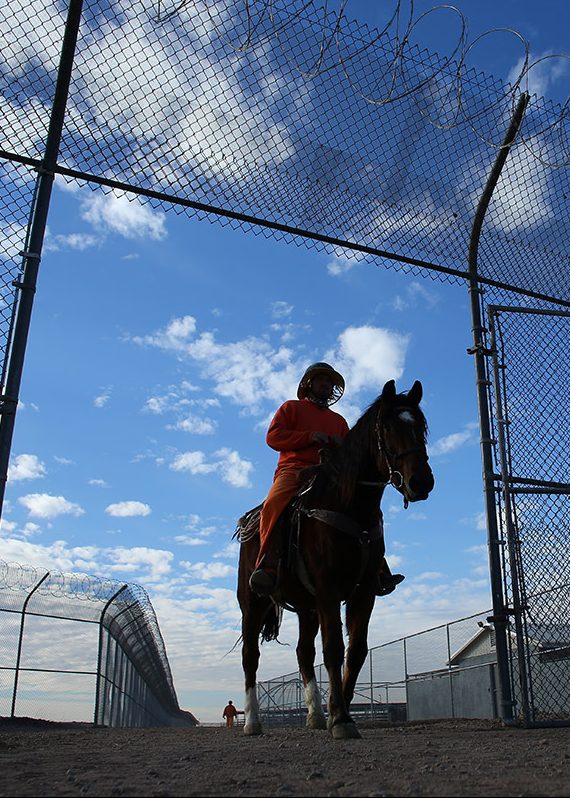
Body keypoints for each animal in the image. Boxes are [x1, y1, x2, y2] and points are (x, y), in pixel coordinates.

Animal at [233, 378, 432, 740]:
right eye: (388, 427)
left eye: (421, 427)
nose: (421, 481)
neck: (348, 505)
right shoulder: (328, 589)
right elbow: (334, 649)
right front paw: (339, 719)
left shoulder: (363, 593)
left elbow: (356, 651)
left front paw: (339, 713)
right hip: (252, 603)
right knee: (250, 656)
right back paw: (253, 721)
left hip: (307, 608)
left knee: (303, 653)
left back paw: (313, 714)